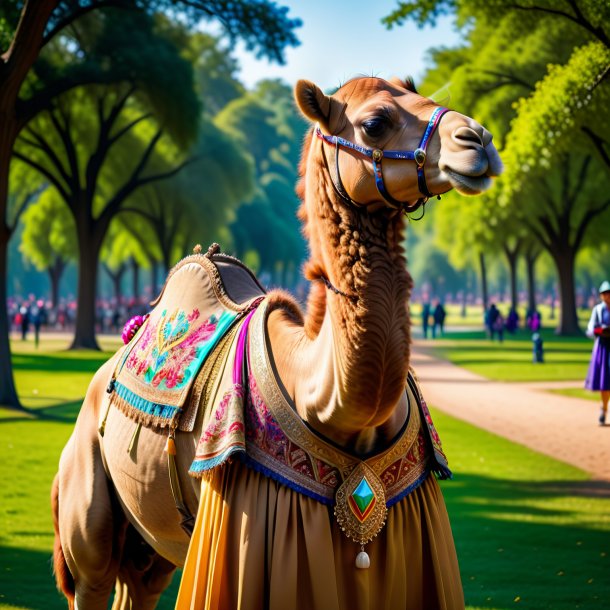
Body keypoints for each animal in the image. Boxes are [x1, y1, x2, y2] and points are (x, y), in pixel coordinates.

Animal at [51, 76, 498, 608]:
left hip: (150, 542)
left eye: (426, 97)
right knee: (93, 575)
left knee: (140, 583)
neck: (320, 399)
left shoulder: (411, 522)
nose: (478, 140)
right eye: (375, 122)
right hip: (87, 498)